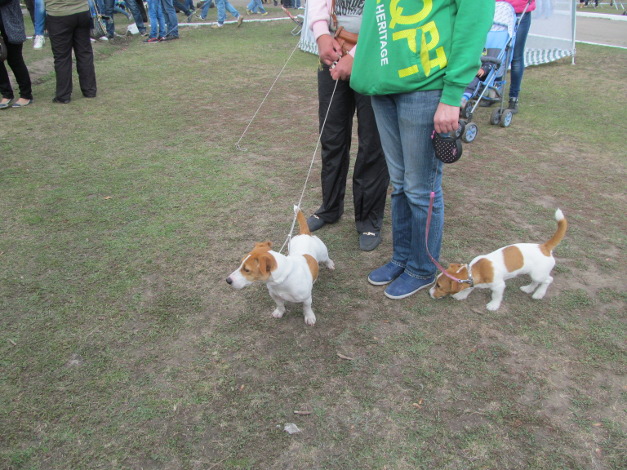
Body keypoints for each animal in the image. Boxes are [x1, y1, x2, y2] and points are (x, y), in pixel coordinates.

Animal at [432, 208, 568, 310]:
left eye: (439, 286)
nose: (430, 293)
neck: (478, 269)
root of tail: (544, 247)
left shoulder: (499, 286)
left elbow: (496, 296)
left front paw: (493, 305)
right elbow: (470, 288)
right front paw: (461, 295)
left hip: (538, 274)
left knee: (548, 280)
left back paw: (539, 294)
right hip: (533, 273)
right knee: (536, 281)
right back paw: (528, 288)